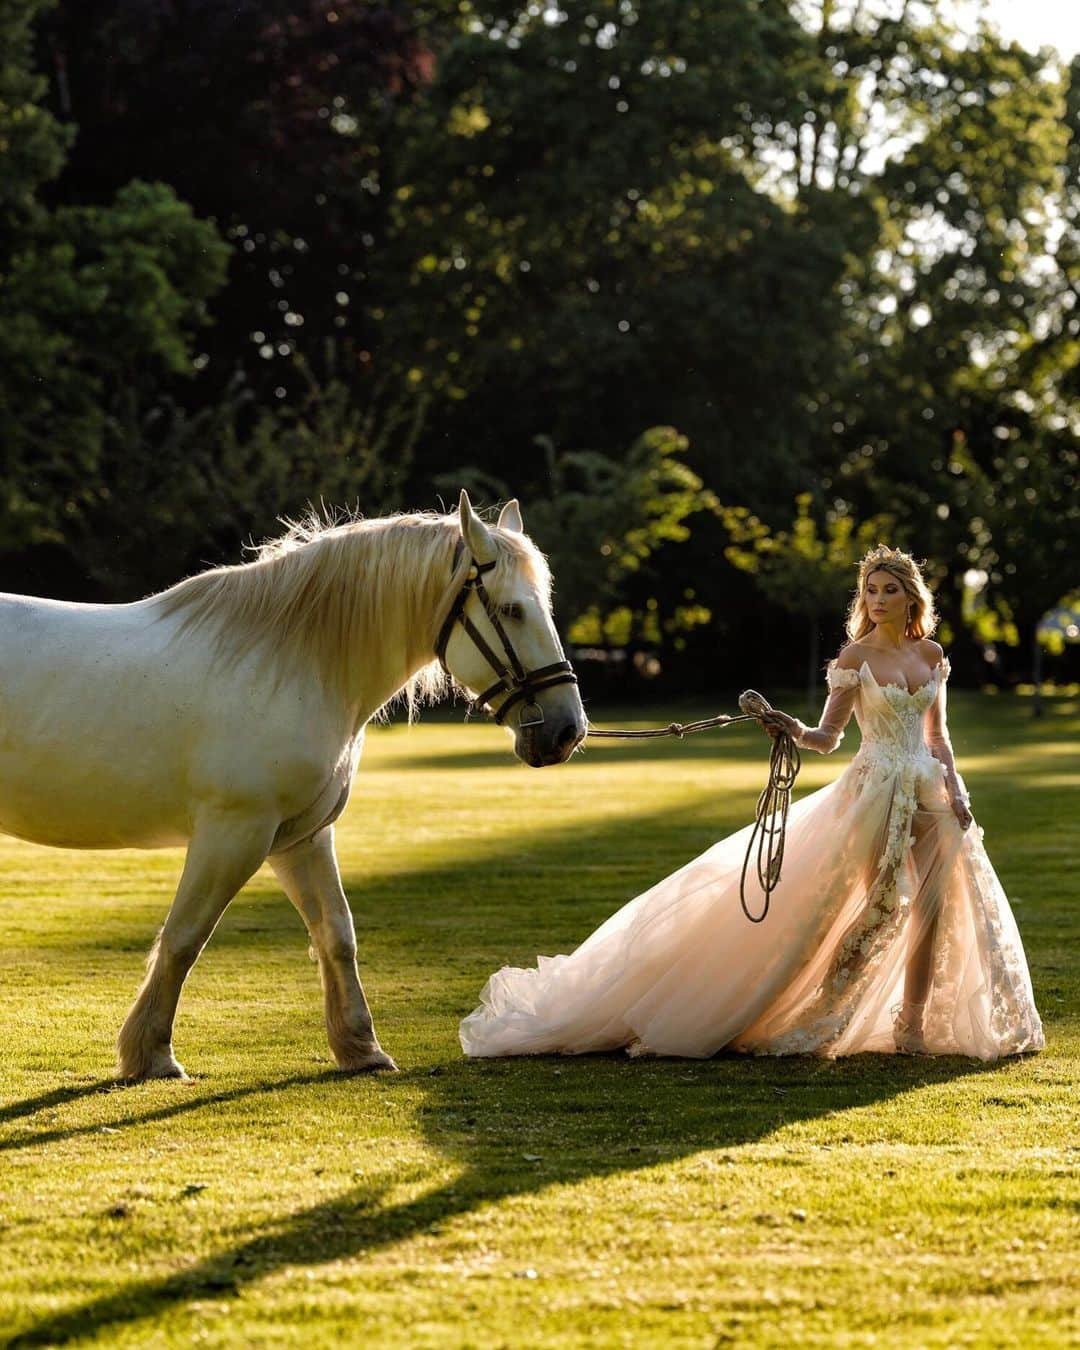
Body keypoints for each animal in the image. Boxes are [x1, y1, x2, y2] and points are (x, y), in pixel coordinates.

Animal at [0, 491, 585, 1080]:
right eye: (511, 610)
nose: (567, 730)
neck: (294, 665)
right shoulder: (234, 833)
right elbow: (185, 936)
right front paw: (152, 1054)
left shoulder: (302, 837)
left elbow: (336, 933)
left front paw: (361, 1047)